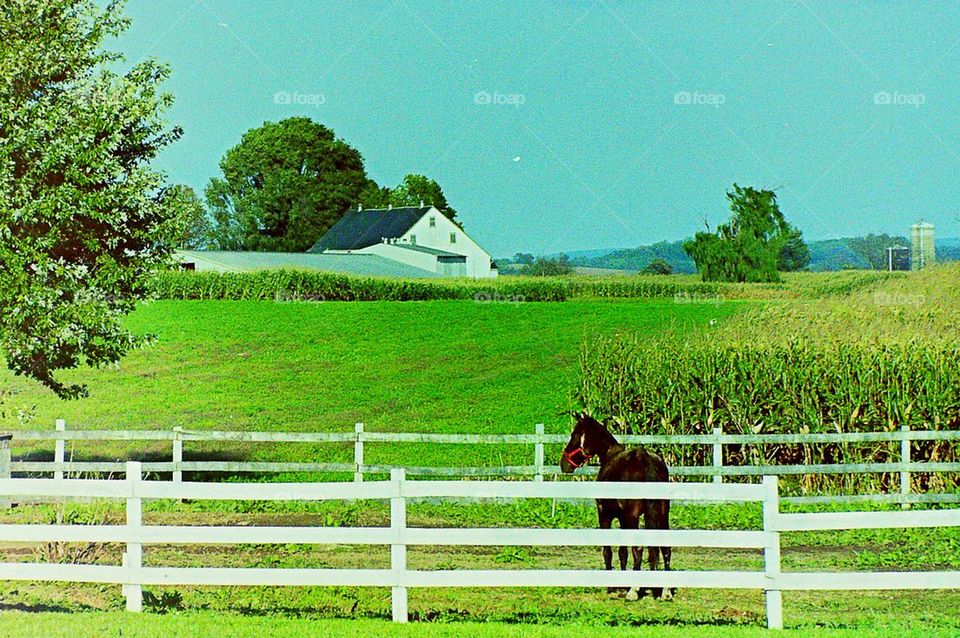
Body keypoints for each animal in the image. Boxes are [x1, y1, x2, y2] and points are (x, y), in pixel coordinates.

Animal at [560, 416, 672, 600]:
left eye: (574, 434)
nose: (564, 464)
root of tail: (646, 461)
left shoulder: (605, 515)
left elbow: (609, 551)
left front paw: (612, 586)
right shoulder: (622, 519)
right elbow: (622, 552)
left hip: (633, 517)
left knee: (638, 548)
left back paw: (634, 591)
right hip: (662, 515)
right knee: (665, 548)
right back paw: (666, 591)